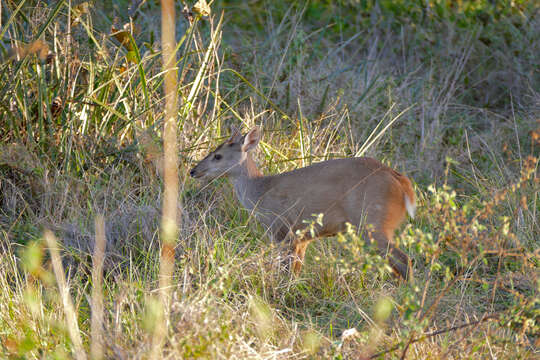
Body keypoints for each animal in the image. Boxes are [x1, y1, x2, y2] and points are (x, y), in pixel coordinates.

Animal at [191, 128, 418, 280]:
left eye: (217, 156)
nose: (193, 171)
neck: (259, 191)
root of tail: (402, 183)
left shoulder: (282, 229)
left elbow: (286, 269)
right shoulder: (302, 237)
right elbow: (296, 269)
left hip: (371, 222)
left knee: (403, 259)